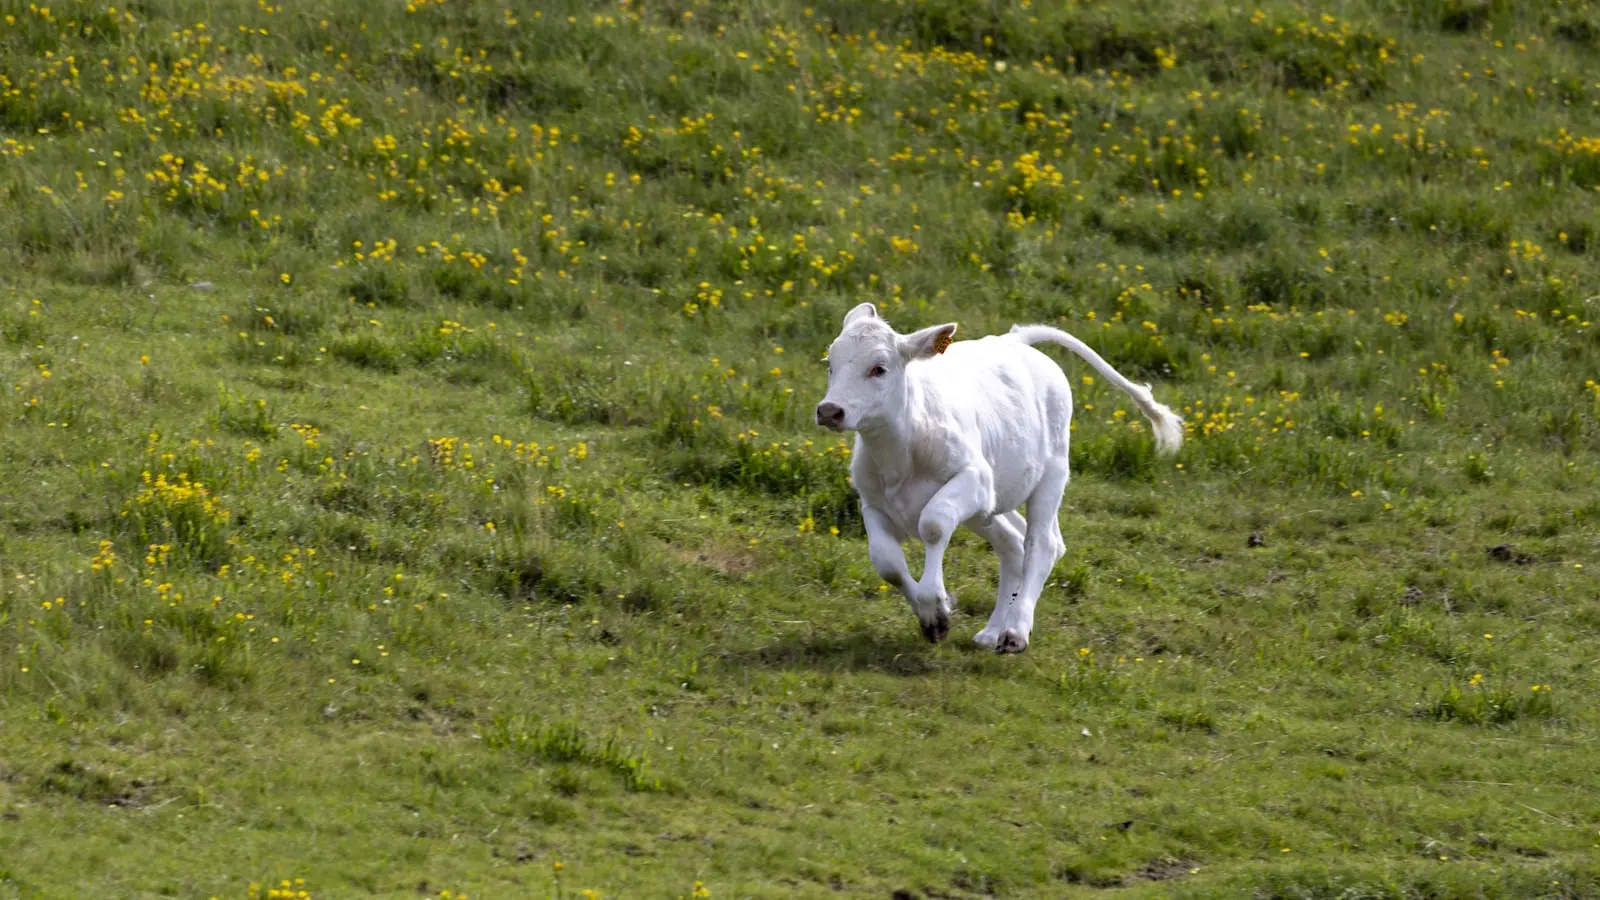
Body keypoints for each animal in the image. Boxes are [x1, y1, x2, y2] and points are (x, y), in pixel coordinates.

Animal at [815, 303, 1183, 653]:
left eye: (879, 368)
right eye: (830, 363)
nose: (829, 410)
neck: (901, 453)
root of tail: (1013, 340)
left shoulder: (975, 478)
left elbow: (933, 524)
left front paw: (935, 604)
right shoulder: (873, 502)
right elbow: (887, 563)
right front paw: (933, 616)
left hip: (1051, 472)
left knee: (1042, 544)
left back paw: (1015, 631)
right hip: (990, 504)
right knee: (1013, 543)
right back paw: (992, 631)